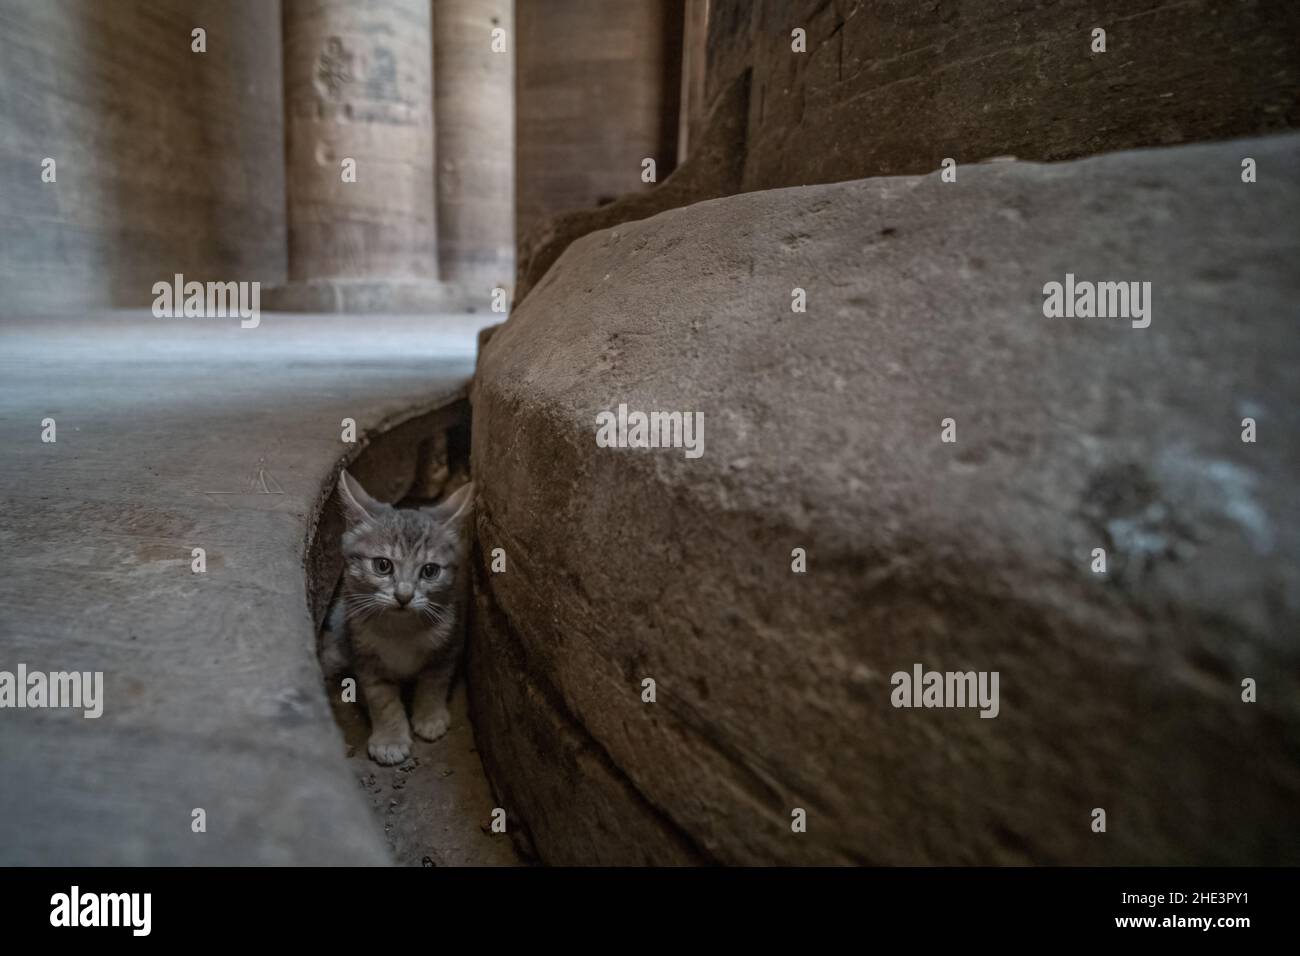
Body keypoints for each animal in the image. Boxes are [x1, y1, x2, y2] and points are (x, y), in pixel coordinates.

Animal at [323, 476, 475, 764]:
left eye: (430, 571)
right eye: (383, 565)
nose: (403, 596)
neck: (401, 630)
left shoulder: (448, 642)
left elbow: (434, 682)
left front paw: (430, 717)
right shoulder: (364, 655)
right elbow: (382, 699)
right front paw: (390, 739)